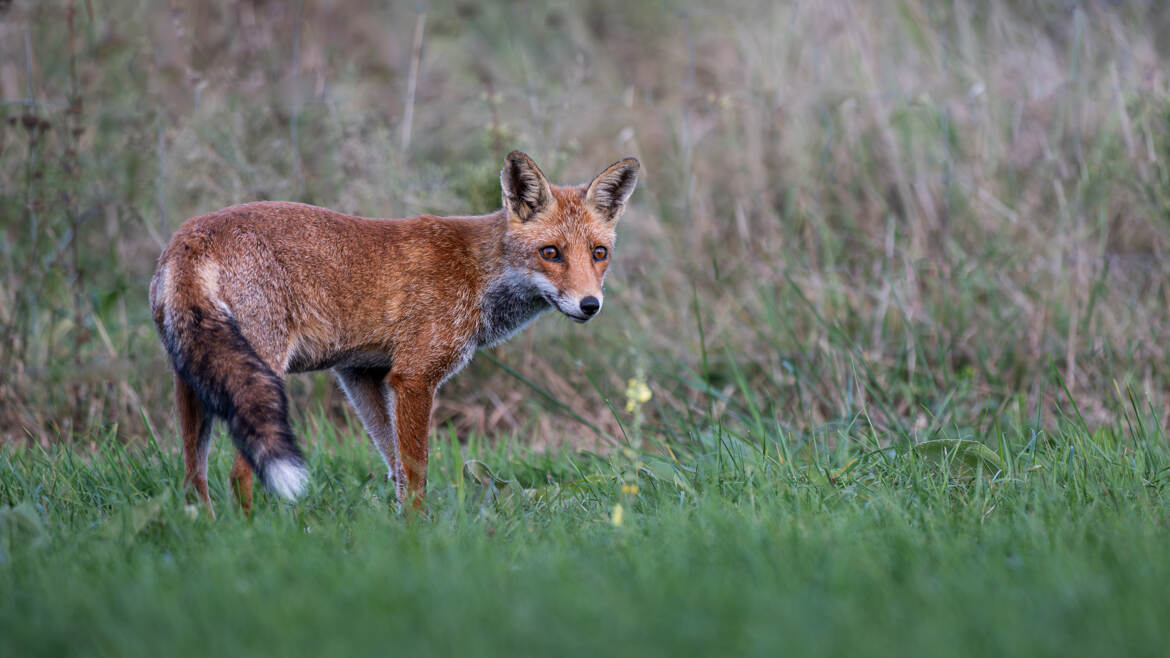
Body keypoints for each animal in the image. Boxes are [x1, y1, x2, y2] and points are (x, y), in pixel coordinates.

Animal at [148, 152, 641, 512]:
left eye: (599, 253)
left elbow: (396, 471)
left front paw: (401, 528)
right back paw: (254, 537)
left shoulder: (361, 373)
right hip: (260, 373)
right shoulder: (414, 376)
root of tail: (191, 236)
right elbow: (416, 471)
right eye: (551, 252)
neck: (476, 273)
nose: (590, 305)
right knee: (239, 473)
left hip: (193, 378)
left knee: (194, 476)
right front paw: (419, 538)